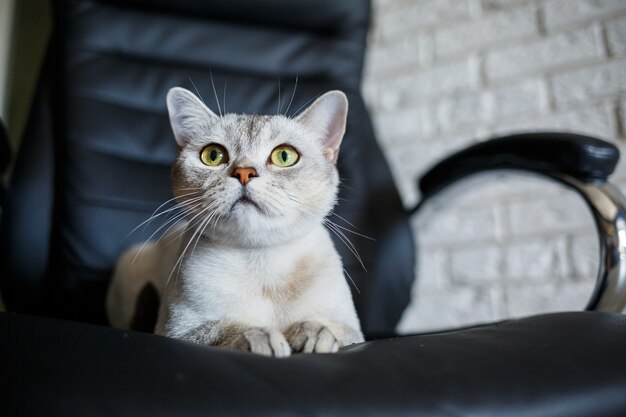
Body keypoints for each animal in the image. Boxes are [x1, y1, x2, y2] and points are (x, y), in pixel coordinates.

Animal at [105, 86, 364, 356]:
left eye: (284, 156)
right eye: (213, 155)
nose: (244, 173)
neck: (262, 261)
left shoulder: (352, 329)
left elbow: (332, 328)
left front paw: (313, 333)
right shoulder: (179, 331)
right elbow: (228, 327)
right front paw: (264, 338)